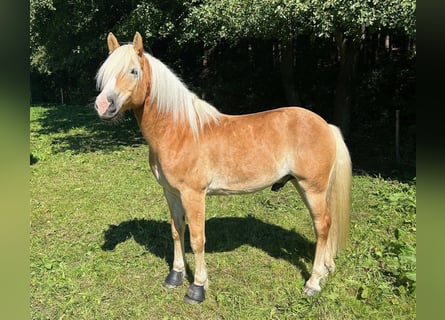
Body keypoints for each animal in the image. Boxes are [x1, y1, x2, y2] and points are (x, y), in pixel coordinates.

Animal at [93, 32, 350, 304]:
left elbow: (197, 239)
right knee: (327, 226)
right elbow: (177, 231)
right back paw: (326, 270)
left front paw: (197, 288)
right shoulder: (171, 193)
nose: (103, 105)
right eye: (105, 72)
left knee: (322, 226)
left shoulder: (193, 195)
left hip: (312, 188)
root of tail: (326, 125)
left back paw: (313, 282)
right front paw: (175, 276)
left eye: (133, 71)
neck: (180, 130)